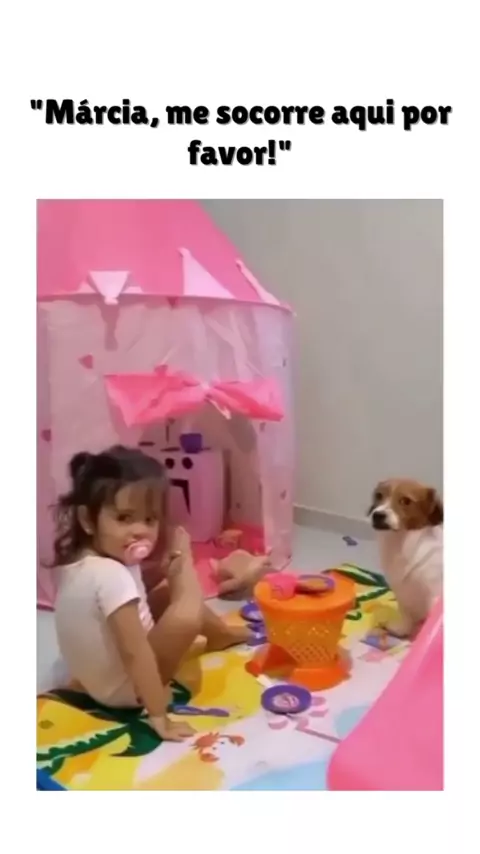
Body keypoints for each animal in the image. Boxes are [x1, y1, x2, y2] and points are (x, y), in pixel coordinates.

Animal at [368, 478, 443, 638]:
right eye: (379, 495)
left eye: (405, 501)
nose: (377, 515)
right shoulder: (402, 593)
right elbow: (405, 615)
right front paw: (402, 631)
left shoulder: (434, 596)